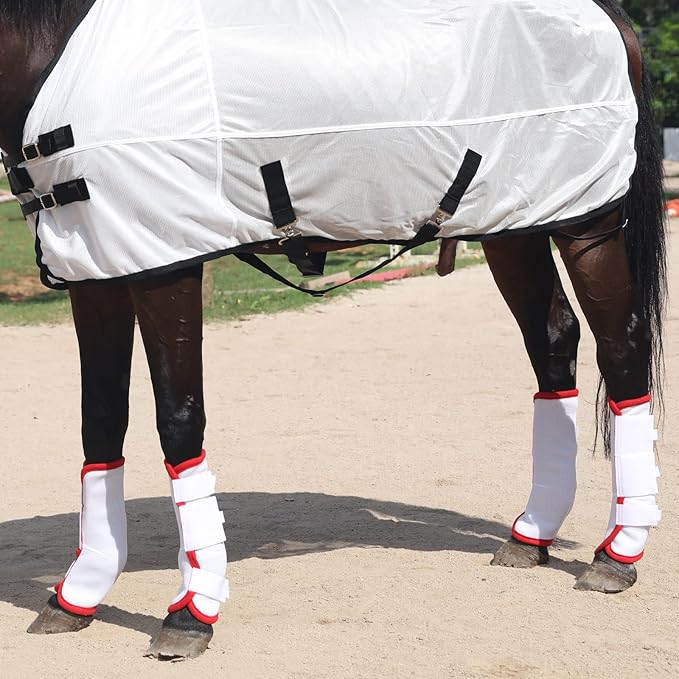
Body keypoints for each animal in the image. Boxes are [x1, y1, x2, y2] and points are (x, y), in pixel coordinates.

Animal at [0, 0, 666, 661]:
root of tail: (607, 16)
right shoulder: (97, 273)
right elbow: (100, 421)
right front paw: (77, 595)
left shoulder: (167, 266)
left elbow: (178, 418)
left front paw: (192, 612)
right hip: (516, 227)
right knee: (553, 342)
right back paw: (531, 536)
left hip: (586, 224)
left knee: (622, 345)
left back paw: (617, 554)